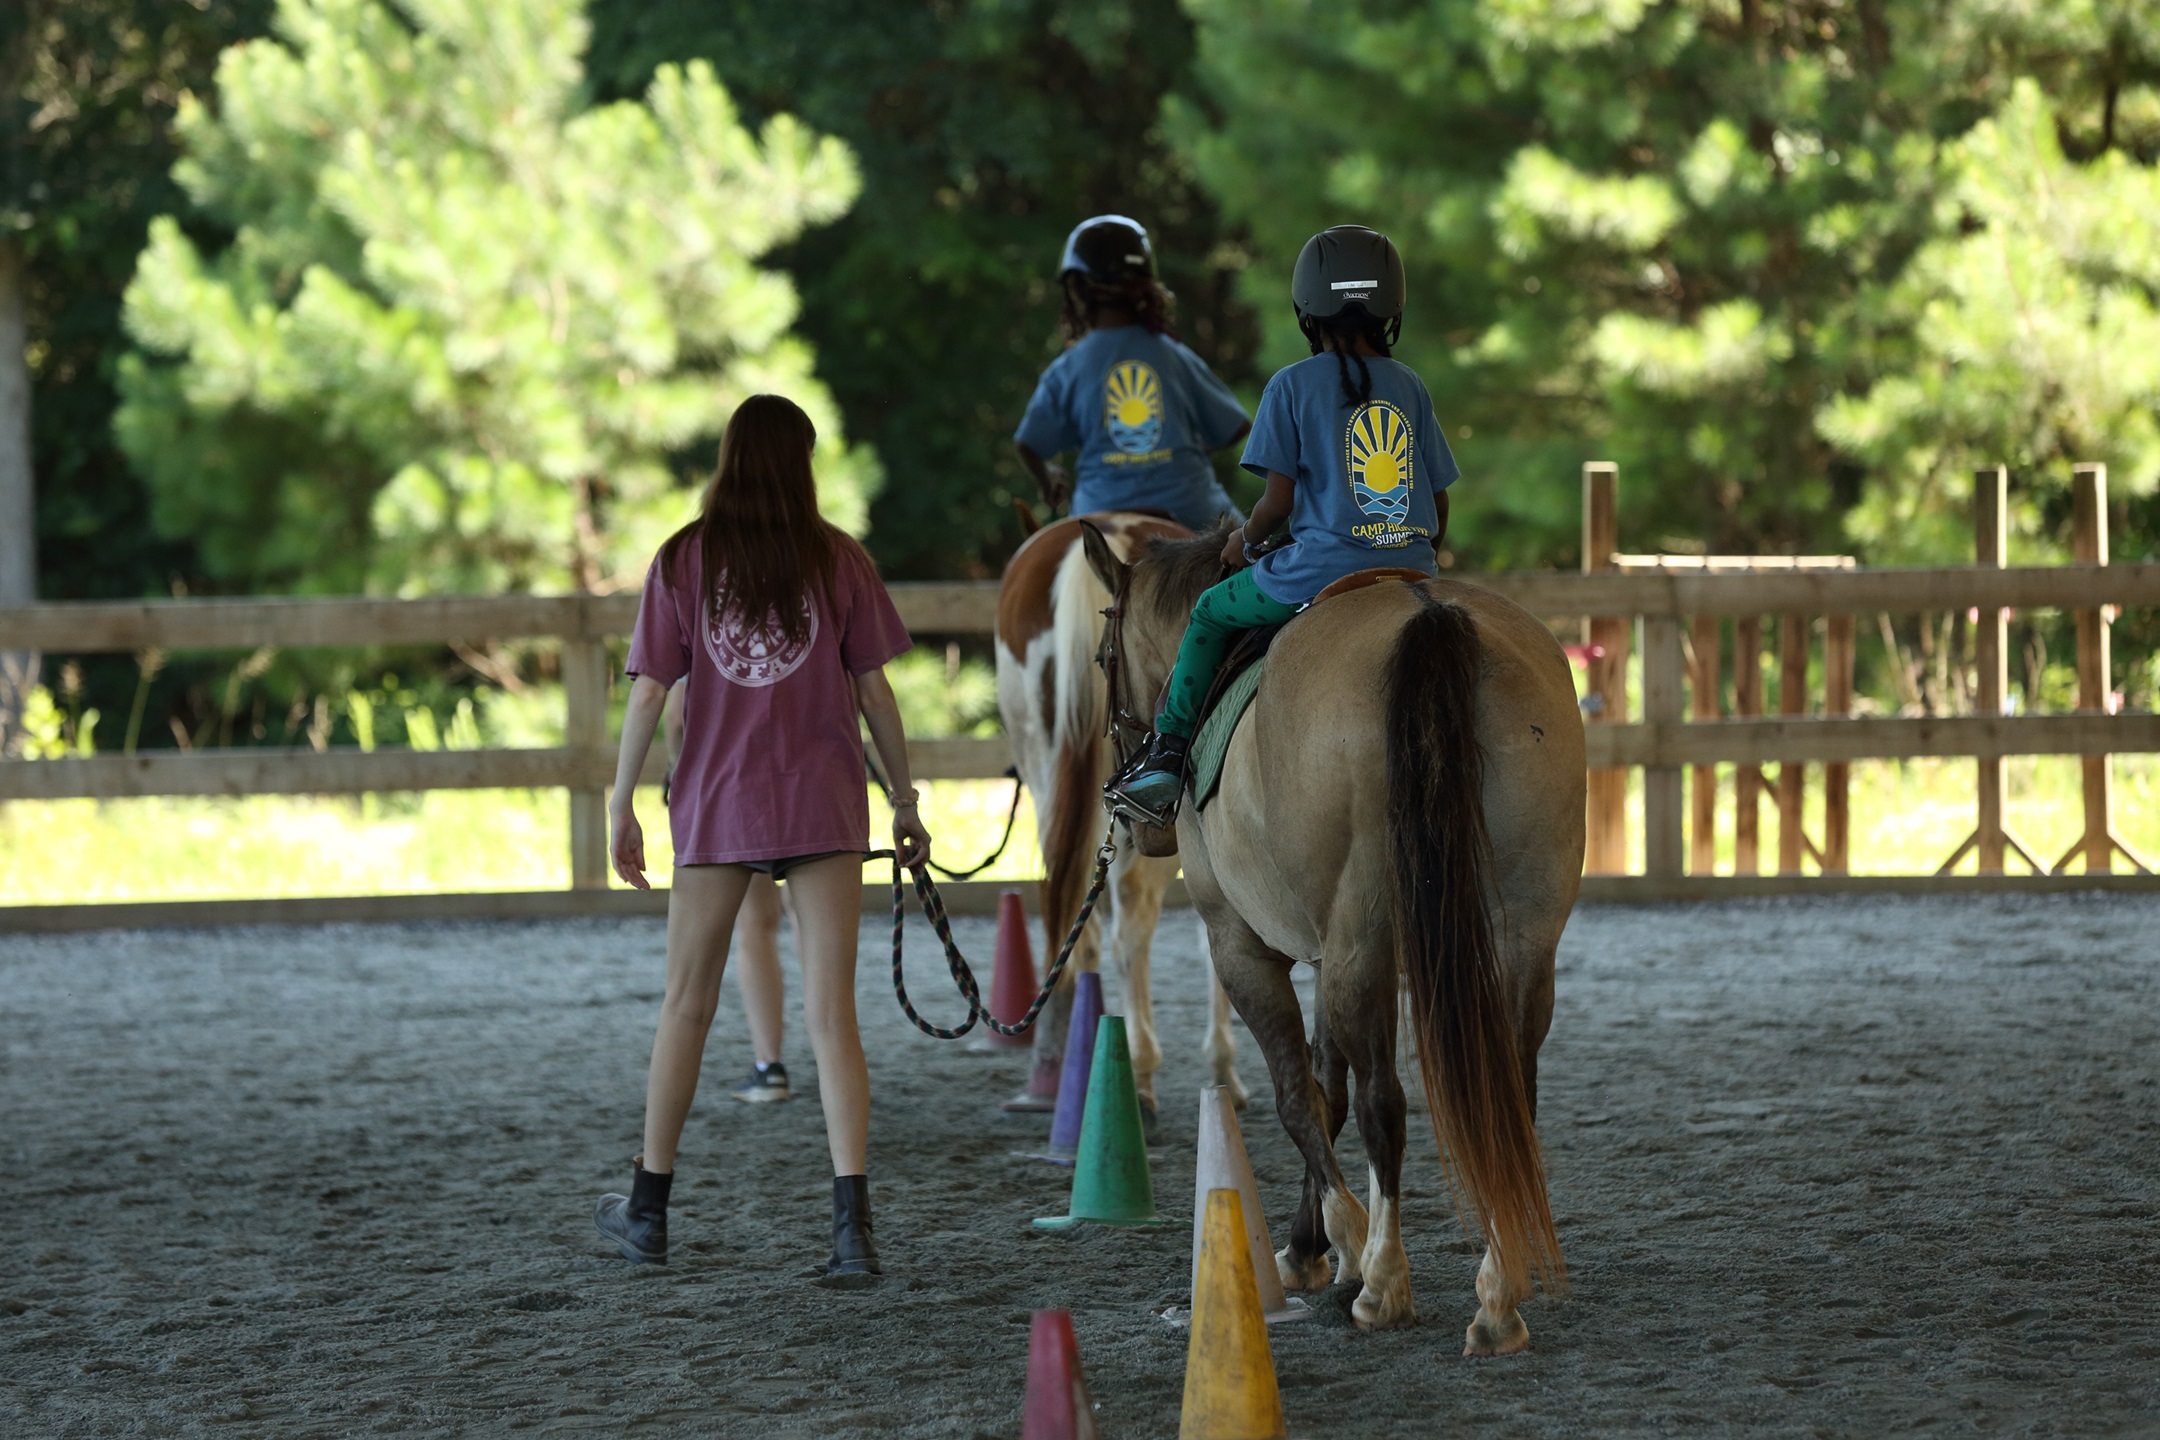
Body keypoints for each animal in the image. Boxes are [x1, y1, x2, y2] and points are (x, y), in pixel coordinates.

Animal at [1080, 524, 1589, 1355]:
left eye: (1102, 657)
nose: (1133, 808)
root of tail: (1429, 617)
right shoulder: (1327, 951)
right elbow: (1328, 1087)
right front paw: (1306, 1242)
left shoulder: (1242, 943)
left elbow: (1299, 1096)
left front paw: (1338, 1242)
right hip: (1520, 936)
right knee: (1507, 1091)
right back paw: (1498, 1287)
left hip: (1363, 938)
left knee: (1387, 1101)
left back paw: (1384, 1278)